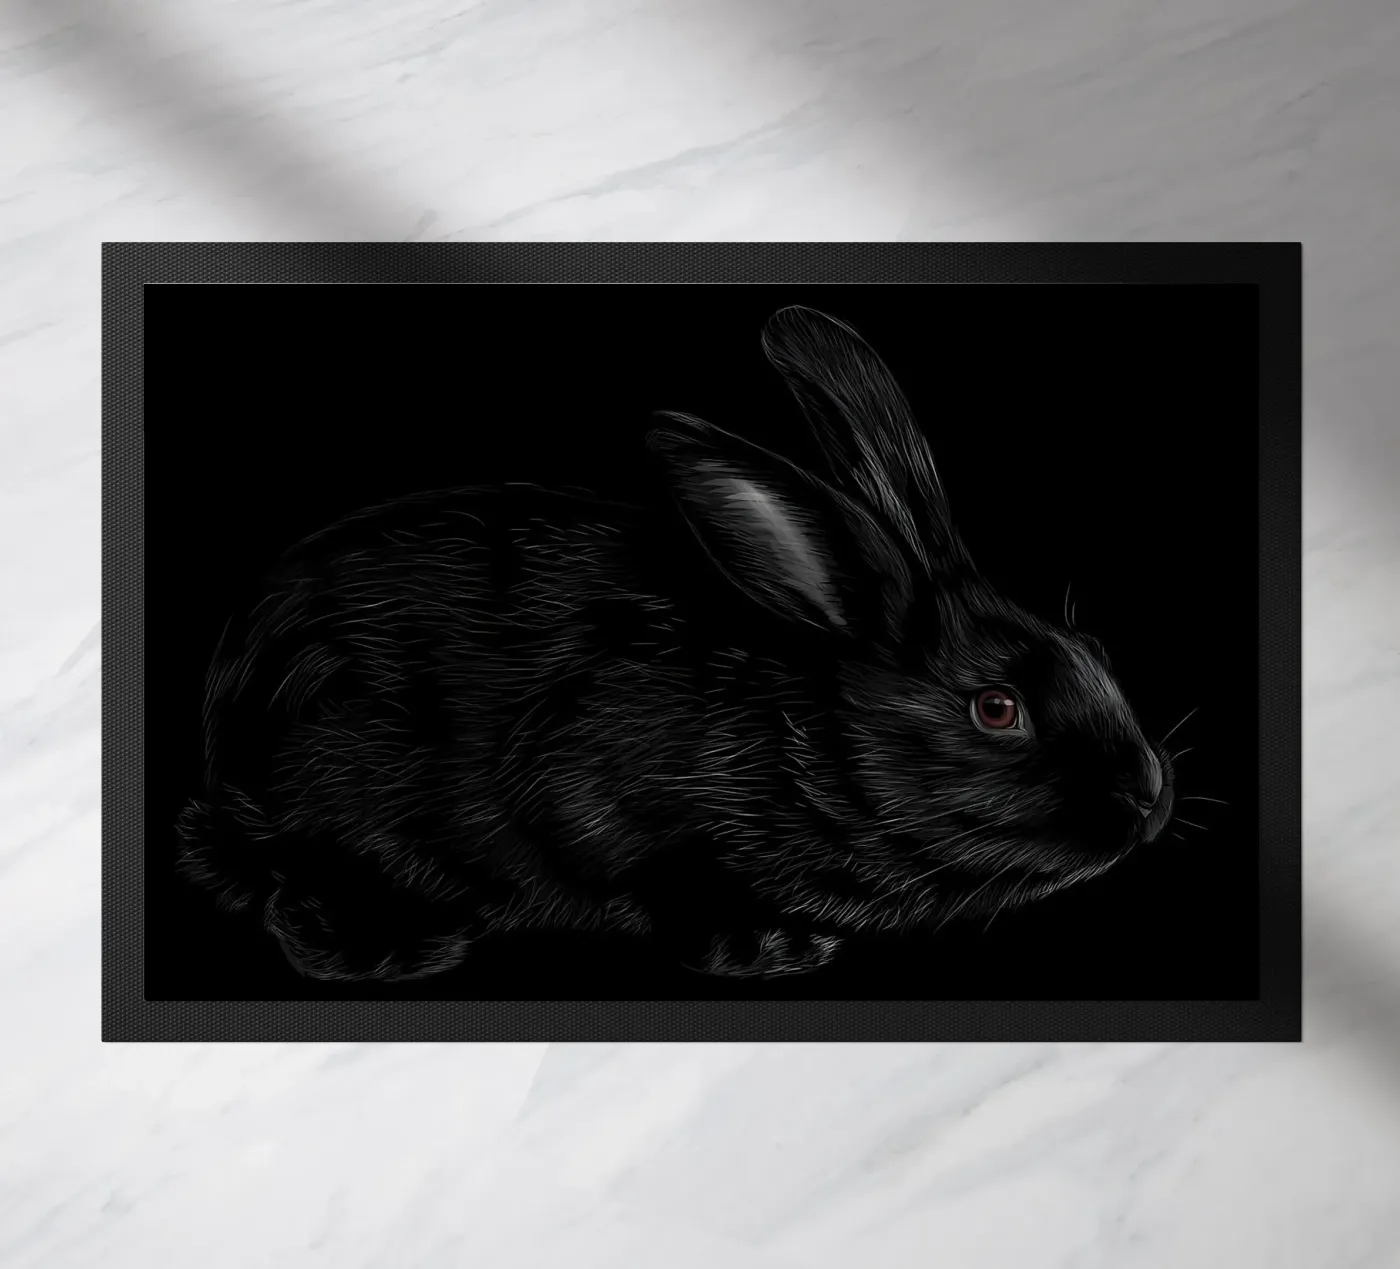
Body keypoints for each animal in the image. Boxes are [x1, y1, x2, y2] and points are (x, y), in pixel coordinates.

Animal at [175, 305, 1176, 985]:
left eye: (1094, 647)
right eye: (997, 708)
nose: (1146, 800)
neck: (803, 733)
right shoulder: (596, 794)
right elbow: (667, 888)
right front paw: (775, 945)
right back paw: (393, 943)